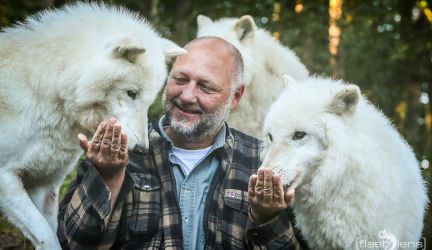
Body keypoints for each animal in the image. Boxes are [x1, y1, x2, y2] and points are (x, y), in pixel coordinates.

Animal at [0, 2, 184, 249]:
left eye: (148, 101)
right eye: (131, 93)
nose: (142, 150)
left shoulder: (46, 186)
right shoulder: (6, 179)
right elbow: (47, 236)